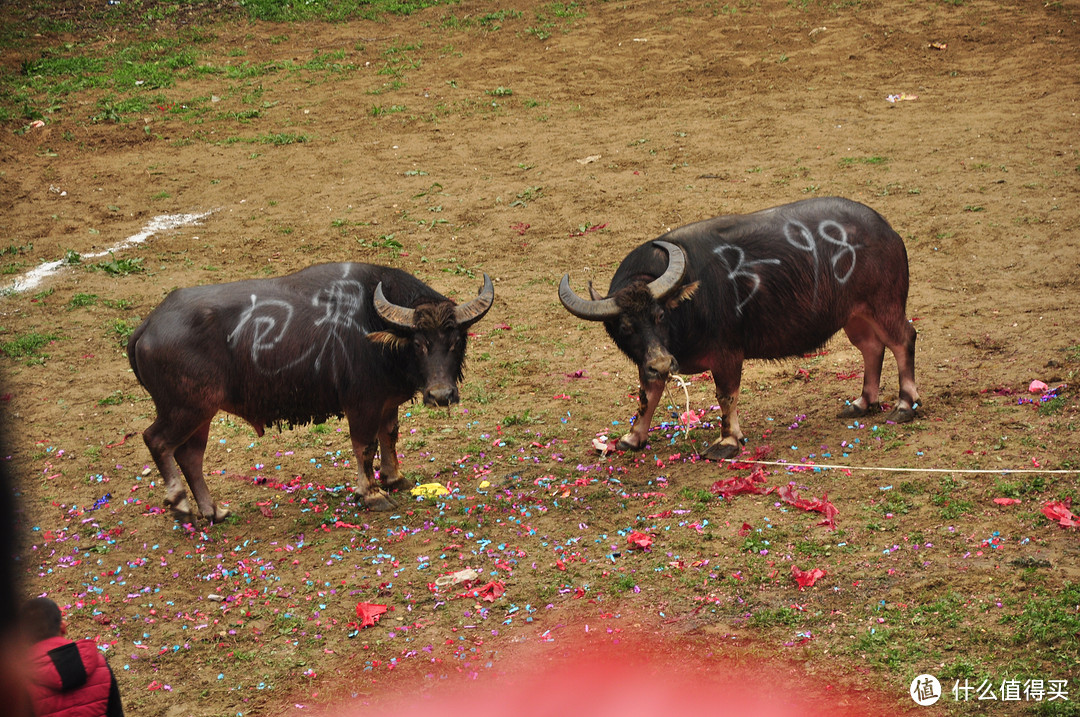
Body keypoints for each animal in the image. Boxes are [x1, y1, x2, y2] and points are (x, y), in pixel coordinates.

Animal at [126, 260, 494, 518]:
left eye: (456, 340)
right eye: (418, 343)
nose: (441, 395)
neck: (375, 328)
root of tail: (149, 325)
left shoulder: (387, 402)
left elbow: (390, 436)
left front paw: (394, 478)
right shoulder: (361, 404)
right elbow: (365, 446)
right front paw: (372, 494)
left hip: (201, 413)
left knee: (190, 456)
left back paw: (213, 511)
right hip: (185, 408)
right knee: (156, 440)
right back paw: (179, 503)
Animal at [557, 197, 920, 460]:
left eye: (660, 315)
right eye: (626, 326)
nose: (662, 363)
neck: (687, 308)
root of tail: (888, 231)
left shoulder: (727, 354)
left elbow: (725, 395)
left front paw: (728, 441)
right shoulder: (651, 358)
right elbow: (648, 394)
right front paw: (633, 437)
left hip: (884, 304)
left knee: (903, 339)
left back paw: (906, 405)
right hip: (854, 316)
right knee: (872, 347)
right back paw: (863, 402)